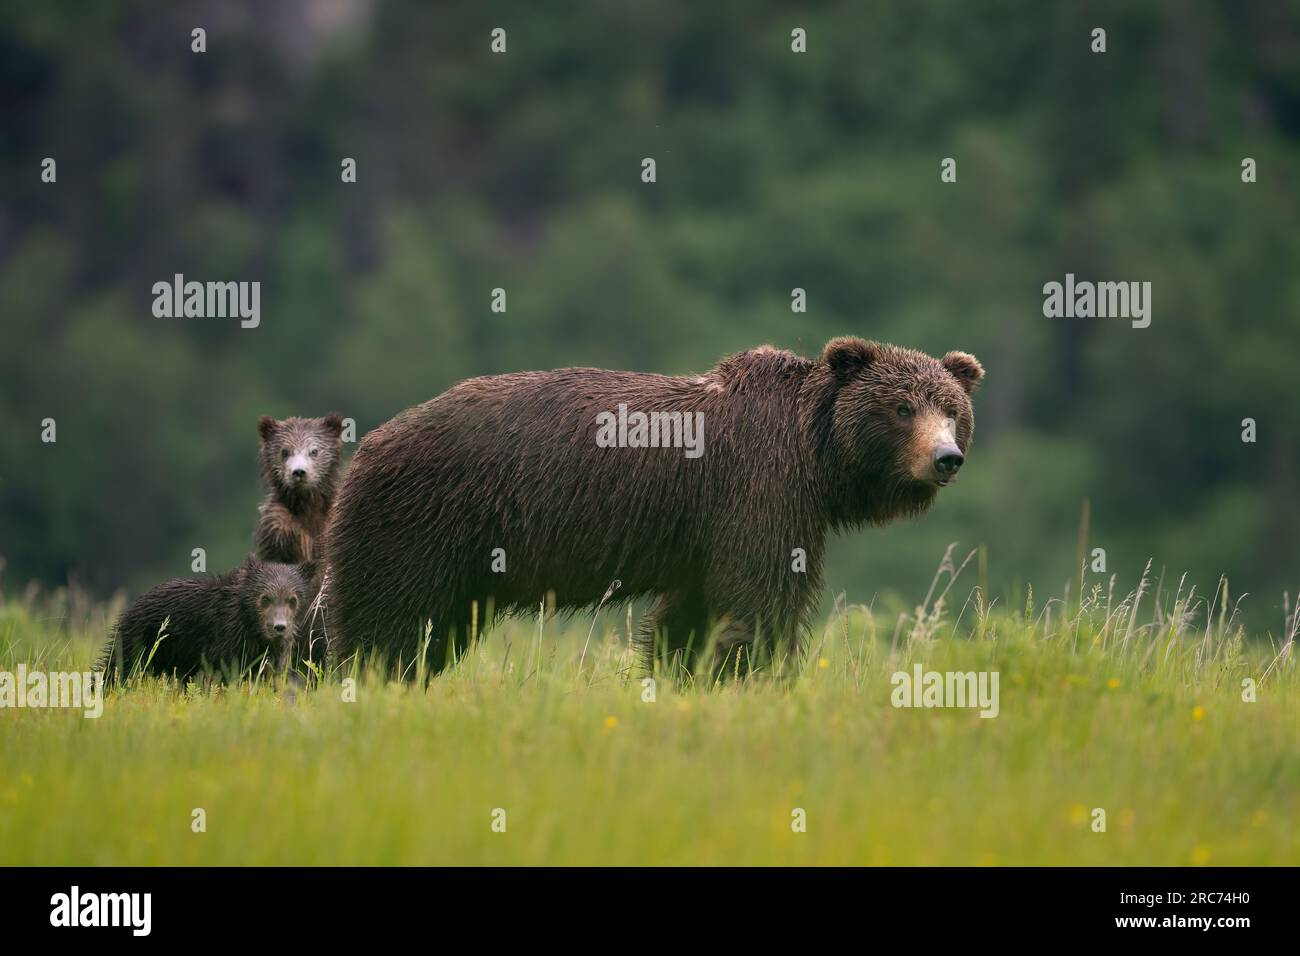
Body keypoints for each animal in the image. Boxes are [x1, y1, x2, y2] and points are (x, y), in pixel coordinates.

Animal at [101, 556, 320, 681]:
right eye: (265, 598)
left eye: (292, 599)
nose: (279, 627)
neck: (251, 626)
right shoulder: (225, 640)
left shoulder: (270, 651)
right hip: (144, 638)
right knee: (120, 666)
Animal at [324, 337, 983, 678]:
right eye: (903, 408)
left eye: (952, 410)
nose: (946, 457)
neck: (815, 452)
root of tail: (370, 442)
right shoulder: (759, 489)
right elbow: (761, 597)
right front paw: (754, 674)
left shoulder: (709, 528)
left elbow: (693, 612)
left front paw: (680, 668)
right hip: (426, 520)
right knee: (392, 618)